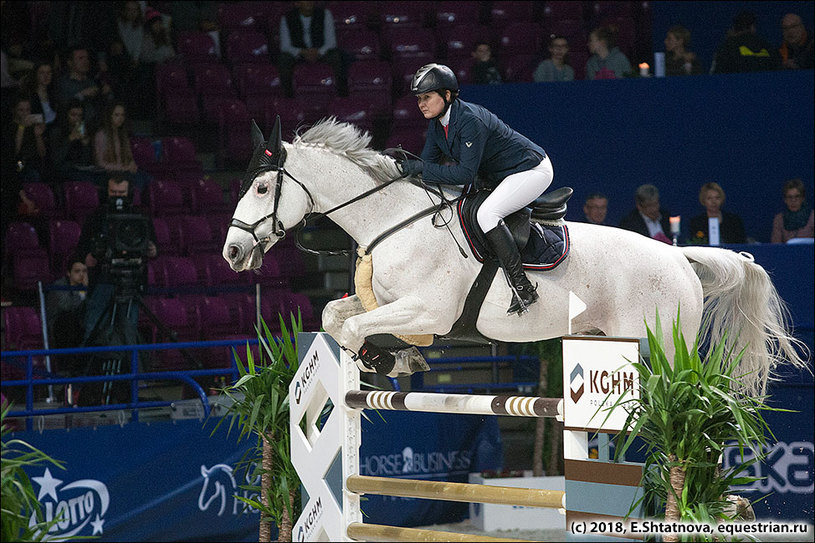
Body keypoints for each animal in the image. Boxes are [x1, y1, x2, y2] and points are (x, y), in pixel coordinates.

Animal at [225, 118, 808, 396]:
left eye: (261, 188)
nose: (232, 252)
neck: (395, 219)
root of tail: (679, 258)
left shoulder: (428, 310)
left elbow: (352, 328)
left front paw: (389, 360)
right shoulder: (385, 303)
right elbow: (334, 315)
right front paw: (397, 358)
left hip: (663, 345)